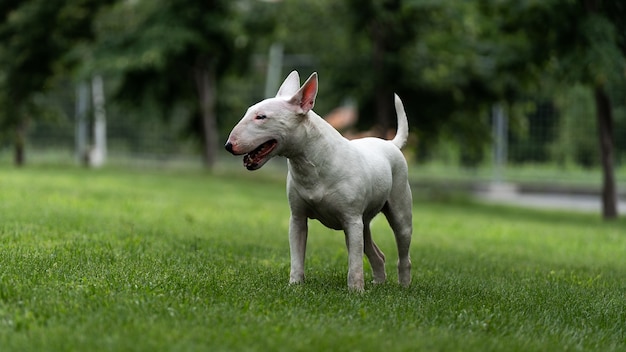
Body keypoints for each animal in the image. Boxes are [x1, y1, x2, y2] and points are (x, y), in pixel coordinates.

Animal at [224, 71, 410, 292]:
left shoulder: (351, 220)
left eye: (261, 117)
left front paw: (356, 291)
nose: (228, 146)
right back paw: (379, 283)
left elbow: (355, 261)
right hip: (364, 222)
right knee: (377, 254)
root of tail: (390, 144)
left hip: (398, 209)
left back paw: (404, 286)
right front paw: (295, 286)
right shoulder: (297, 218)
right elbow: (297, 255)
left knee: (402, 249)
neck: (312, 162)